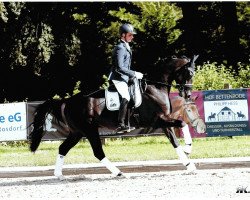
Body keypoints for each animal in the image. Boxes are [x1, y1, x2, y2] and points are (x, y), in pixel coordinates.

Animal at [29, 55, 201, 180]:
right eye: (189, 73)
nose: (187, 94)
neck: (155, 87)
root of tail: (68, 101)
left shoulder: (164, 120)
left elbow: (176, 140)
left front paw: (190, 164)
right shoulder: (157, 120)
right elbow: (182, 124)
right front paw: (188, 149)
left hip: (77, 132)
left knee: (63, 148)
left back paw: (58, 175)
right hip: (89, 130)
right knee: (98, 152)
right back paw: (118, 173)